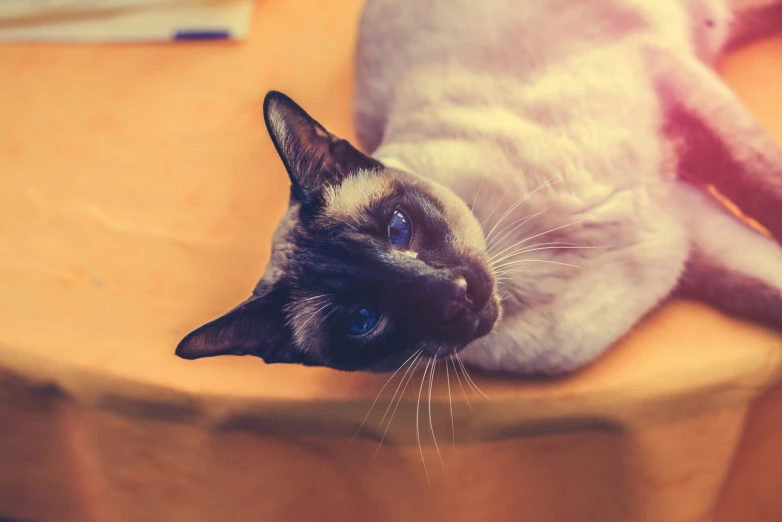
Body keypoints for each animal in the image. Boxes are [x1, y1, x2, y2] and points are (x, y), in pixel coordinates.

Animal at [178, 0, 782, 374]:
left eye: (398, 228)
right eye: (362, 321)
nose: (455, 293)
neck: (524, 274)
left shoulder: (678, 125)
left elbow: (764, 187)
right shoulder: (691, 233)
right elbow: (763, 284)